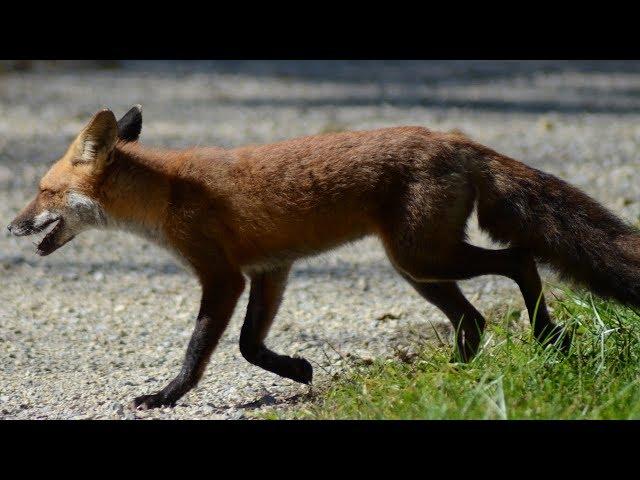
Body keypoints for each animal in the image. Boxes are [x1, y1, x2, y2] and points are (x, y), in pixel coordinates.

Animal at [6, 106, 640, 408]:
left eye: (43, 191)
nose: (11, 225)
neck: (168, 195)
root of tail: (458, 140)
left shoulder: (223, 277)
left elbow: (199, 352)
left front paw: (165, 396)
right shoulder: (270, 270)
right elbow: (249, 345)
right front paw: (295, 370)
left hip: (424, 256)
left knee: (520, 261)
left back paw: (548, 337)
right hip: (417, 266)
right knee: (475, 320)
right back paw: (450, 379)